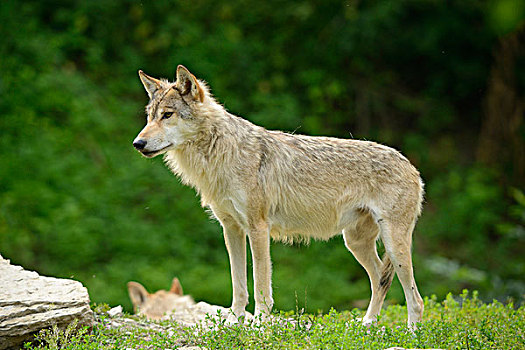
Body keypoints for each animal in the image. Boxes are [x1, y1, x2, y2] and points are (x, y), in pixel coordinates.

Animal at [133, 66, 424, 328]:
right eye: (149, 117)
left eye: (167, 115)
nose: (138, 144)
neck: (220, 153)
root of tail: (411, 165)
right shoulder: (231, 229)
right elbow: (238, 283)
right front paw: (234, 320)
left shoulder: (258, 228)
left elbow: (261, 282)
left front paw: (261, 323)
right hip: (355, 243)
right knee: (381, 281)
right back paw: (367, 325)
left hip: (394, 245)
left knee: (415, 298)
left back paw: (411, 334)